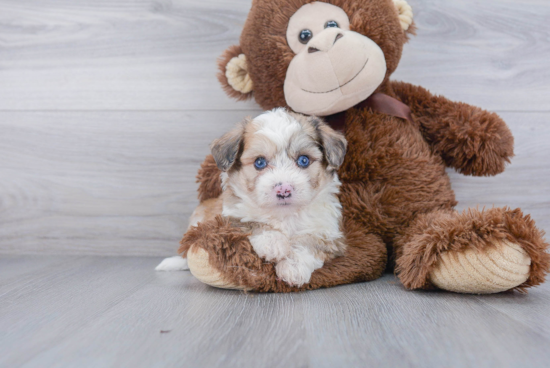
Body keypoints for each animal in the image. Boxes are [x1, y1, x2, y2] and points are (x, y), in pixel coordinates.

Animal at [203, 108, 350, 286]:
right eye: (259, 162)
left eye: (304, 160)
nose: (284, 190)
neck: (284, 215)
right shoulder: (228, 218)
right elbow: (250, 223)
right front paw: (272, 242)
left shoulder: (330, 233)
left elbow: (310, 242)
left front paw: (293, 266)